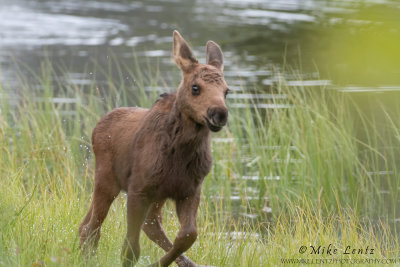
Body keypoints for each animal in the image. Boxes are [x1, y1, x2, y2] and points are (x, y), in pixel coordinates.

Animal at [79, 30, 228, 266]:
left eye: (226, 91)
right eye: (195, 87)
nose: (219, 113)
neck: (182, 152)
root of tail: (98, 125)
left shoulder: (189, 190)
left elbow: (188, 235)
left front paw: (161, 263)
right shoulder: (138, 189)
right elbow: (130, 248)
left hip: (157, 195)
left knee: (148, 225)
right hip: (107, 180)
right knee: (91, 227)